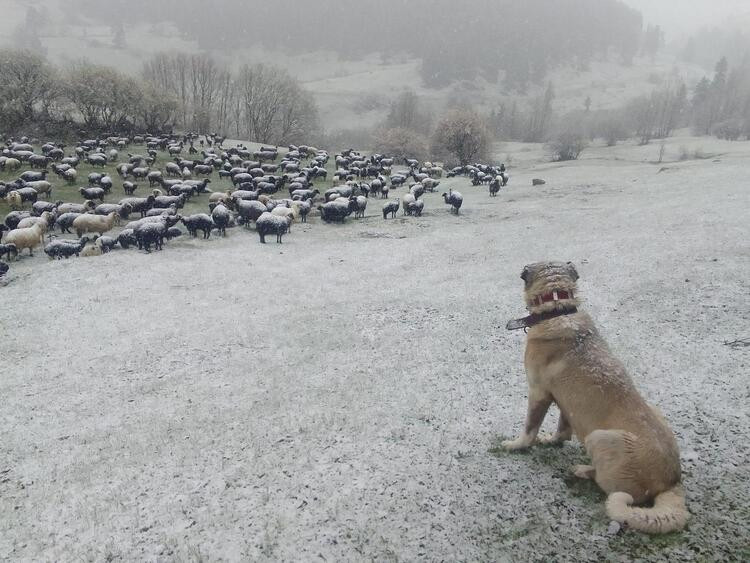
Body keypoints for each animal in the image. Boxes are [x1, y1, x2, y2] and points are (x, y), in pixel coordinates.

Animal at [502, 262, 692, 536]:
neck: (557, 309)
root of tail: (672, 482)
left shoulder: (538, 392)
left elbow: (529, 429)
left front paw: (516, 445)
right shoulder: (566, 403)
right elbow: (562, 429)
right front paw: (552, 440)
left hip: (600, 438)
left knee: (613, 488)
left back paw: (582, 470)